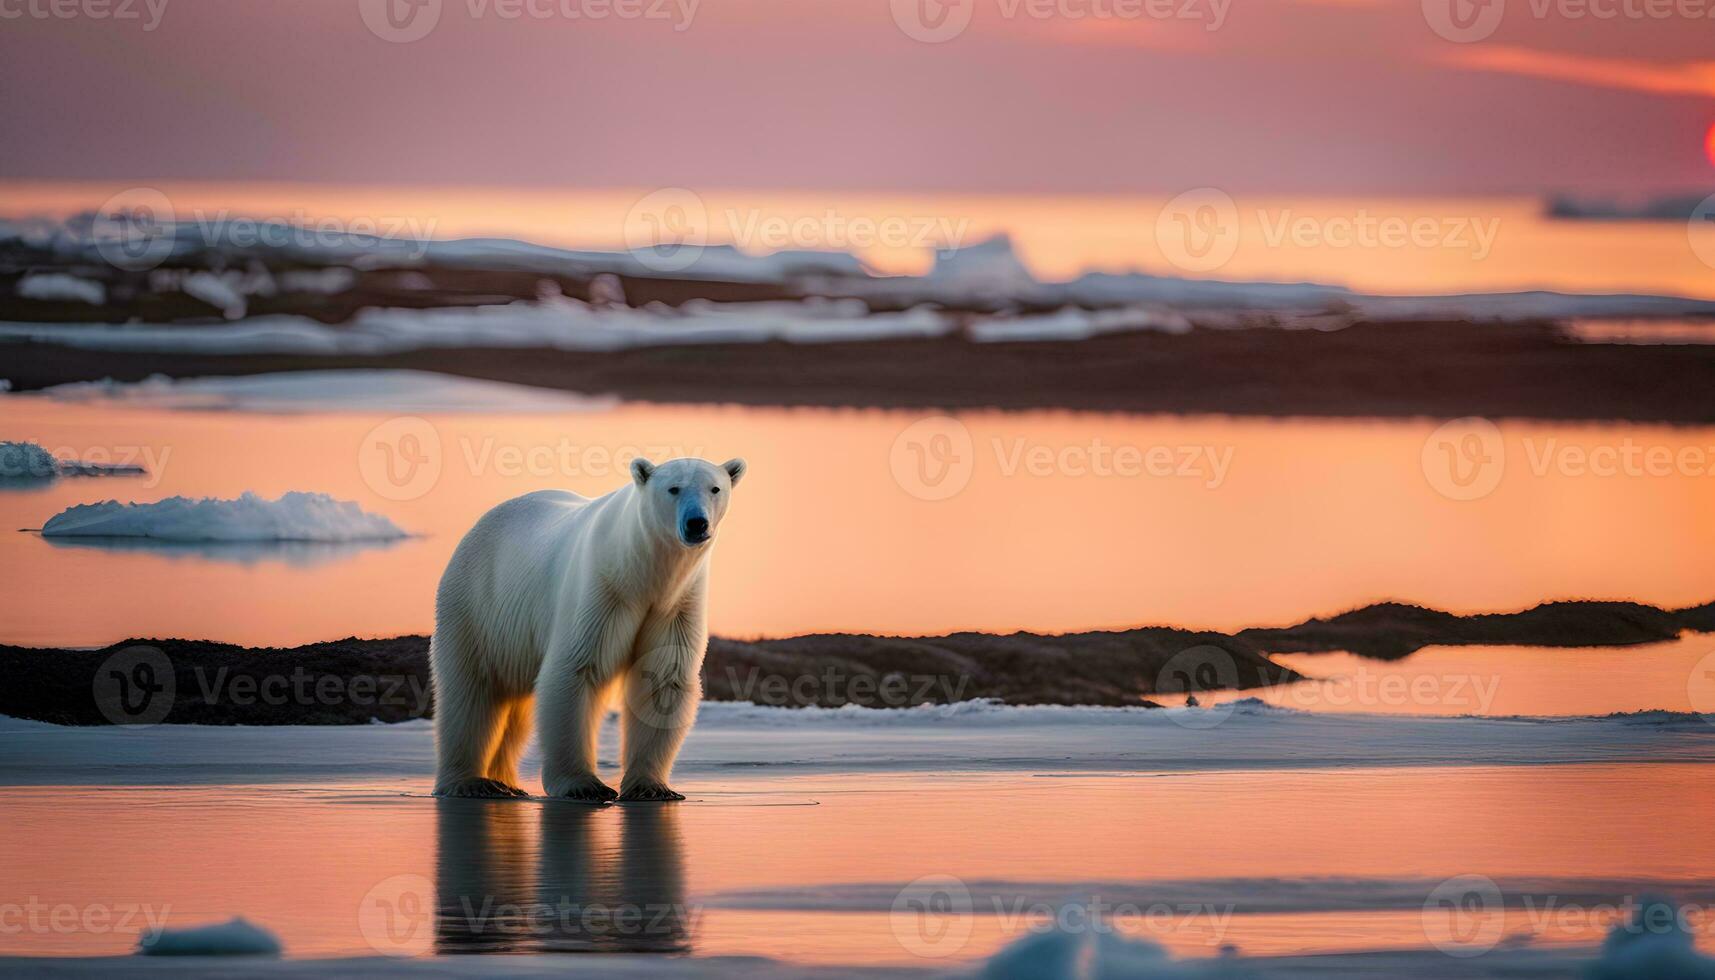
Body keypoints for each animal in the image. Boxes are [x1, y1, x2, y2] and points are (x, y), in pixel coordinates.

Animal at [428, 456, 744, 799]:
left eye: (715, 488)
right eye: (674, 488)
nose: (696, 523)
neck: (644, 574)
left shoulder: (676, 604)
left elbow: (662, 679)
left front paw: (652, 787)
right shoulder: (603, 590)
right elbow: (576, 668)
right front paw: (583, 785)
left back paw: (506, 782)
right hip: (476, 606)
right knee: (471, 690)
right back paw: (470, 781)